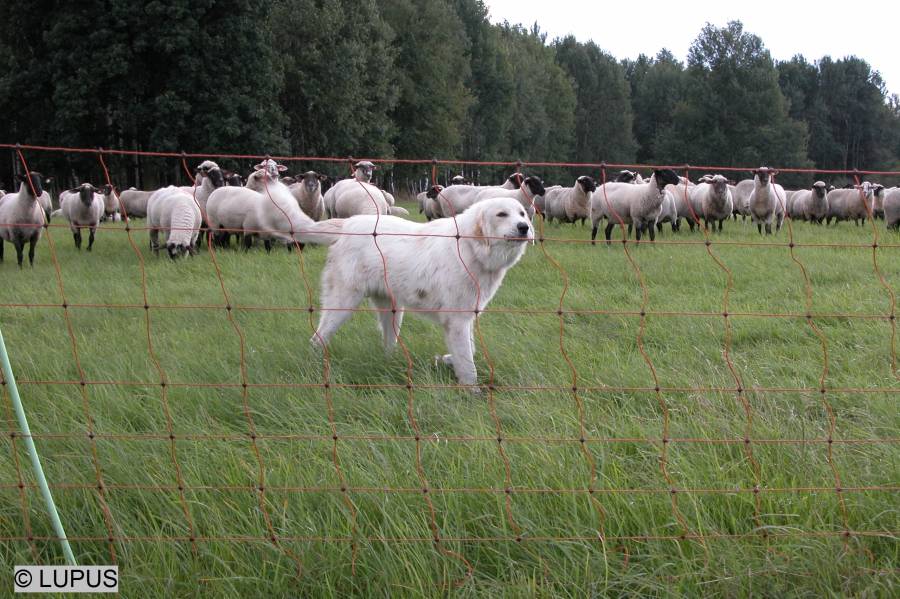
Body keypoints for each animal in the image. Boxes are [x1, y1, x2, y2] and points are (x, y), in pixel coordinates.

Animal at [312, 195, 536, 386]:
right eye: (502, 214)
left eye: (522, 214)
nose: (524, 227)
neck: (471, 247)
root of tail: (346, 224)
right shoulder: (457, 321)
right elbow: (468, 364)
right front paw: (472, 392)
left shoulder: (465, 318)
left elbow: (468, 351)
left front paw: (445, 359)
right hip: (343, 304)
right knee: (318, 338)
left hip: (392, 312)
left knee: (387, 344)